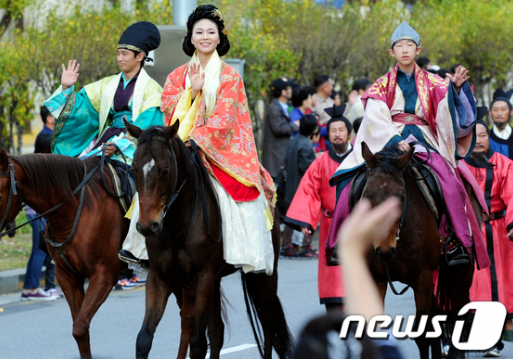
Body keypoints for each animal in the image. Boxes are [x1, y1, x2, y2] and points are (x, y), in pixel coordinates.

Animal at [125, 122, 292, 359]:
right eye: (133, 169)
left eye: (165, 171)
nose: (148, 226)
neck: (176, 226)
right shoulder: (160, 276)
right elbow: (144, 339)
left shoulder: (203, 276)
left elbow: (198, 344)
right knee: (214, 330)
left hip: (266, 271)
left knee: (267, 324)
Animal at [360, 143, 476, 359]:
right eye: (367, 195)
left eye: (400, 197)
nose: (384, 251)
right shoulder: (376, 278)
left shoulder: (422, 276)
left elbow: (422, 335)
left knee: (460, 304)